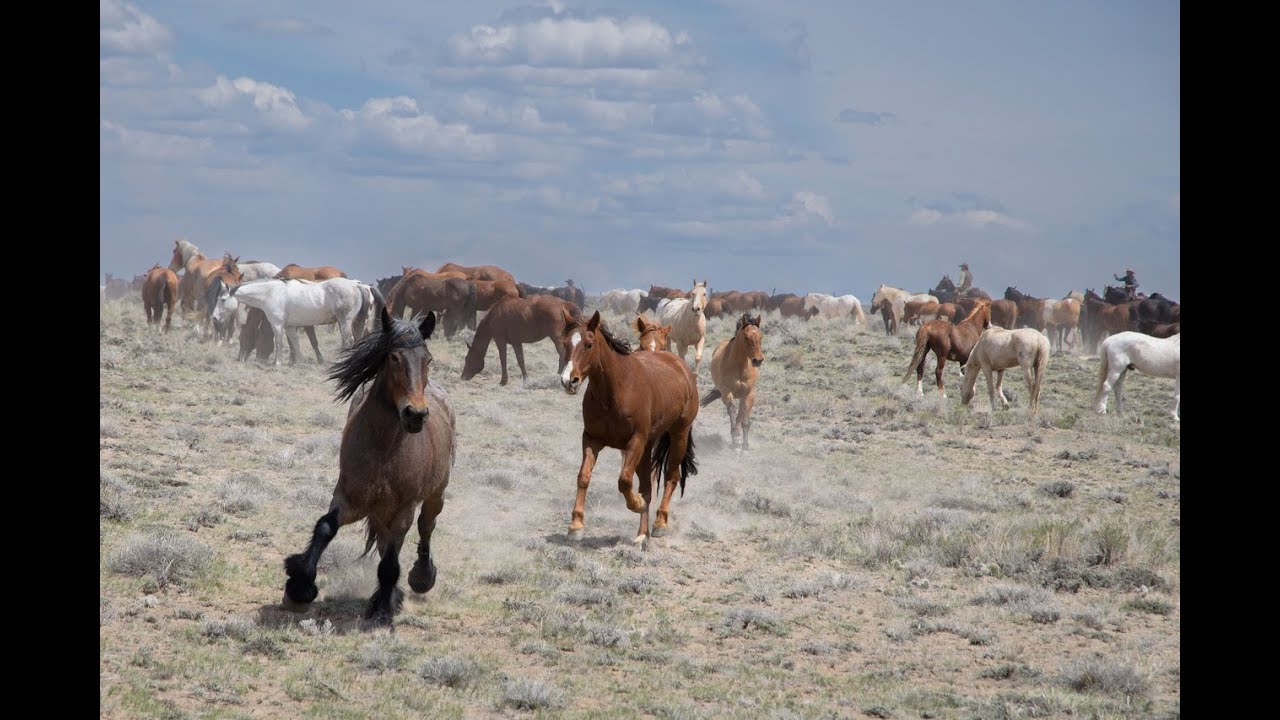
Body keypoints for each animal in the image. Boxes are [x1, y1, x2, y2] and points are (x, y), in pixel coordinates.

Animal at [221, 278, 373, 366]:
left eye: (222, 299)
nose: (240, 359)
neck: (271, 293)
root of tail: (358, 285)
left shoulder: (277, 324)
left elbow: (280, 342)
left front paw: (277, 363)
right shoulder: (290, 327)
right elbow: (294, 343)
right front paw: (299, 362)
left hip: (345, 322)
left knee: (348, 341)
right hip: (357, 322)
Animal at [281, 309, 456, 626]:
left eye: (427, 359)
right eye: (394, 358)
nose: (416, 414)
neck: (382, 449)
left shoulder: (403, 509)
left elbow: (390, 562)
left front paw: (381, 610)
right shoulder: (348, 498)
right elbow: (325, 527)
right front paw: (299, 589)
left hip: (436, 493)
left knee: (426, 527)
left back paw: (421, 578)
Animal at [559, 310, 699, 545]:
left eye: (588, 344)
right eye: (565, 344)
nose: (569, 380)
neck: (615, 390)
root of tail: (682, 368)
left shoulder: (636, 441)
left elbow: (624, 480)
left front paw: (636, 504)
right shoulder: (591, 439)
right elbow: (583, 477)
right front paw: (576, 526)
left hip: (678, 433)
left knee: (671, 477)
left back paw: (659, 523)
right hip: (649, 446)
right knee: (648, 487)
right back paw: (642, 534)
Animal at [701, 314, 765, 449]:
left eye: (761, 336)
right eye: (746, 337)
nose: (758, 360)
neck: (740, 367)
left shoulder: (749, 394)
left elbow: (743, 416)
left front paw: (744, 444)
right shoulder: (726, 392)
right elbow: (732, 410)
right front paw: (735, 438)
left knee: (741, 415)